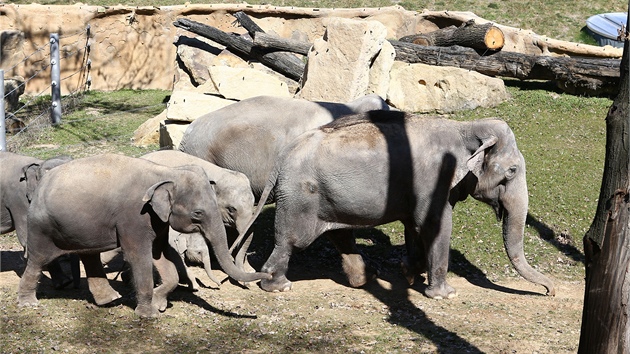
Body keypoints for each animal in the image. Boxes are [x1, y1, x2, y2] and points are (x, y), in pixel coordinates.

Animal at [18, 153, 270, 316]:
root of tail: (40, 186)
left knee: (89, 256)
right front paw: (149, 313)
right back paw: (29, 304)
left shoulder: (157, 220)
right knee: (38, 259)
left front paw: (159, 301)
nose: (265, 275)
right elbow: (139, 256)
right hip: (41, 226)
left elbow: (161, 254)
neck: (165, 172)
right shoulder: (134, 215)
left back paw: (110, 300)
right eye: (197, 213)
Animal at [249, 111, 556, 298]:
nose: (549, 291)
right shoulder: (435, 178)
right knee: (292, 241)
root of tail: (283, 156)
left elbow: (414, 227)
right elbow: (436, 225)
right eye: (512, 171)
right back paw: (278, 286)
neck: (466, 127)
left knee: (340, 234)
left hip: (328, 197)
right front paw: (444, 294)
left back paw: (366, 278)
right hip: (301, 196)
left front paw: (409, 273)